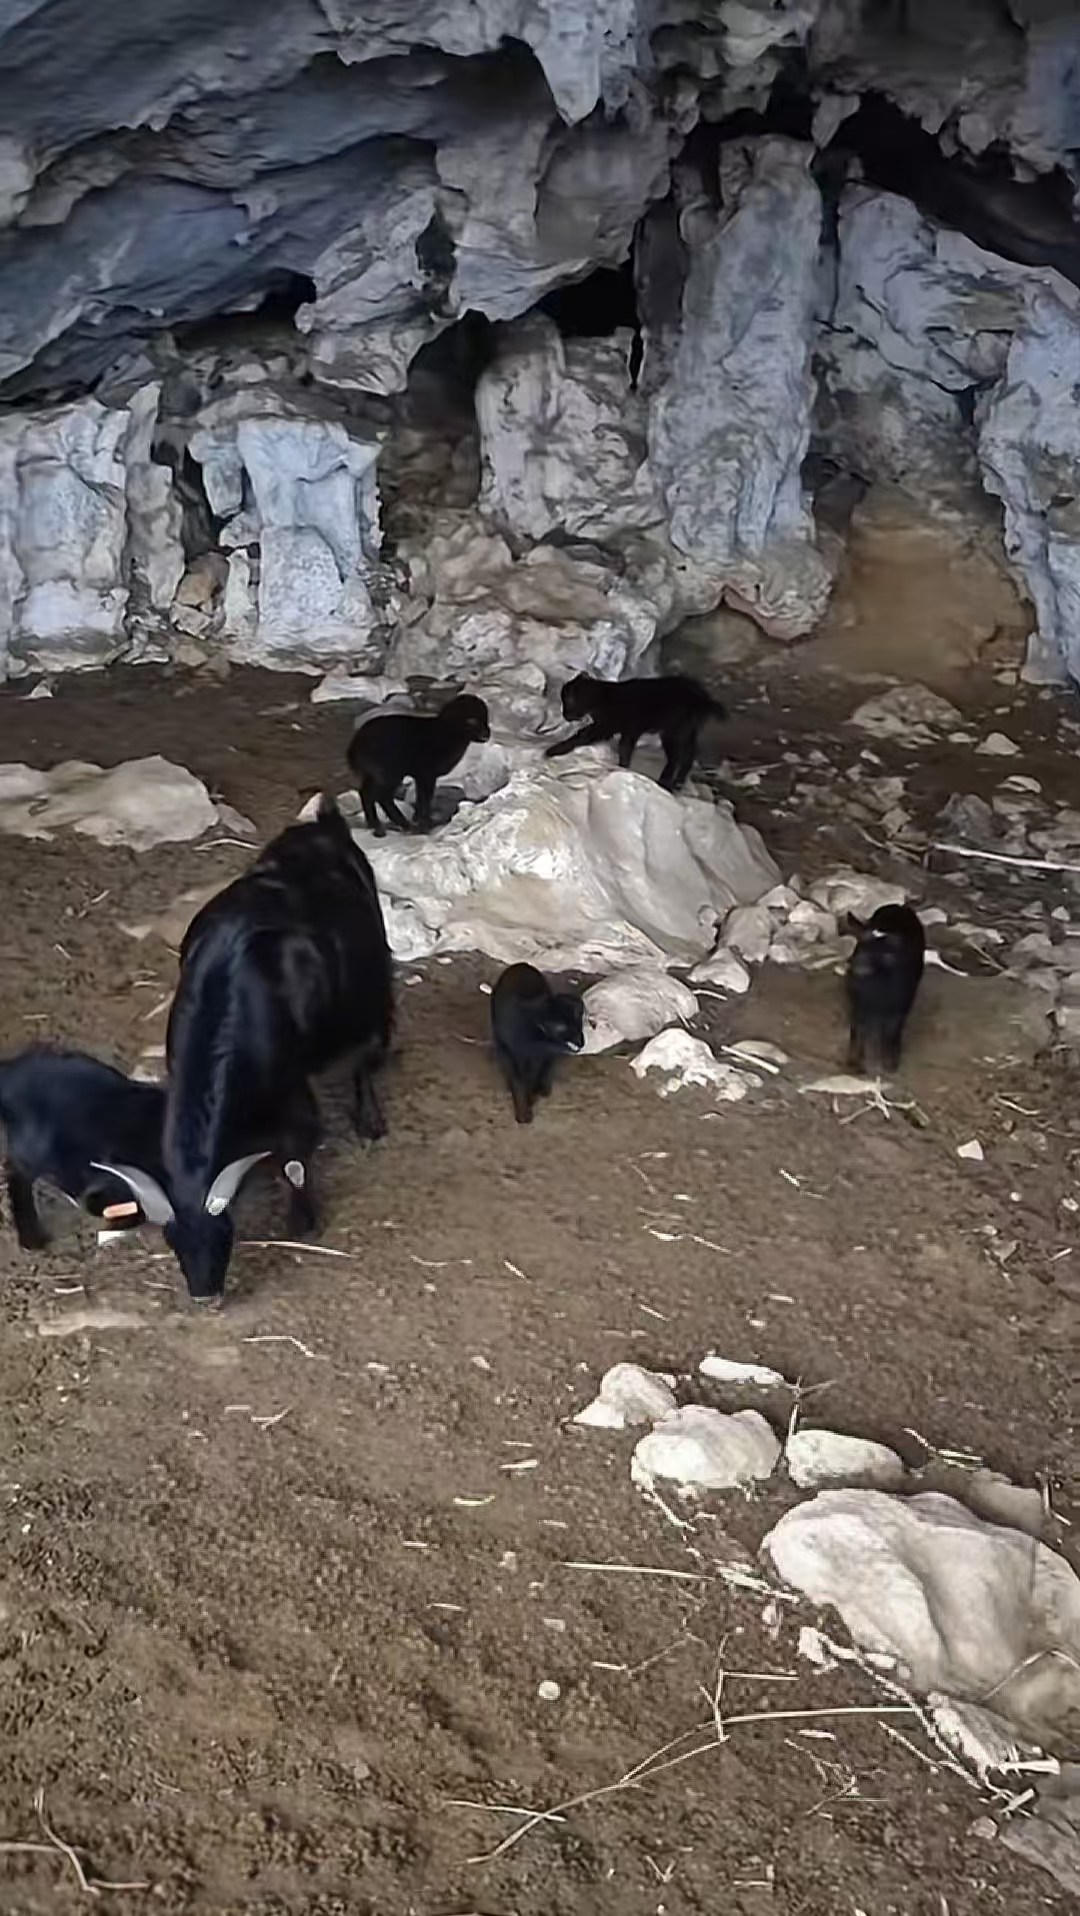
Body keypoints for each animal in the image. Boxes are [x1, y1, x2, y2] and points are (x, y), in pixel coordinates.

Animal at [95, 796, 394, 1303]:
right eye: (171, 1240)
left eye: (225, 1234)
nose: (204, 1295)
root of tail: (321, 826)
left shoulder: (294, 1089)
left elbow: (296, 1155)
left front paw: (303, 1221)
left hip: (373, 985)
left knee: (369, 1051)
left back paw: (370, 1118)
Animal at [347, 693, 491, 836]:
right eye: (472, 721)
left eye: (486, 717)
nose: (487, 734)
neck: (446, 733)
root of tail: (356, 745)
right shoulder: (426, 774)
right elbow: (424, 799)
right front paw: (425, 826)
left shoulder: (420, 776)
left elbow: (421, 799)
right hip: (390, 772)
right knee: (382, 796)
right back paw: (403, 826)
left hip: (374, 773)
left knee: (365, 792)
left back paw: (375, 825)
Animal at [490, 964, 585, 1125]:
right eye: (564, 1028)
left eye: (579, 1026)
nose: (582, 1042)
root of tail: (522, 964)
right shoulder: (511, 1053)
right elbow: (519, 1083)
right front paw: (523, 1114)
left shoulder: (540, 1055)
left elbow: (539, 1072)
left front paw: (535, 1094)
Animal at [544, 673, 725, 792]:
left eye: (566, 702)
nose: (564, 715)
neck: (603, 696)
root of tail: (701, 697)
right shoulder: (626, 730)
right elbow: (625, 748)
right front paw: (623, 767)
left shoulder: (607, 727)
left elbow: (583, 736)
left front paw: (554, 750)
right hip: (686, 732)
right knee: (689, 756)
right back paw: (677, 783)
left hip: (673, 732)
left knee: (676, 759)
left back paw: (665, 783)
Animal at [844, 904, 925, 1075]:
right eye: (858, 946)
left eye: (885, 953)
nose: (856, 967)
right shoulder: (858, 1005)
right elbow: (857, 1030)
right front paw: (854, 1062)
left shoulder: (901, 1006)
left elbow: (892, 1033)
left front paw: (891, 1064)